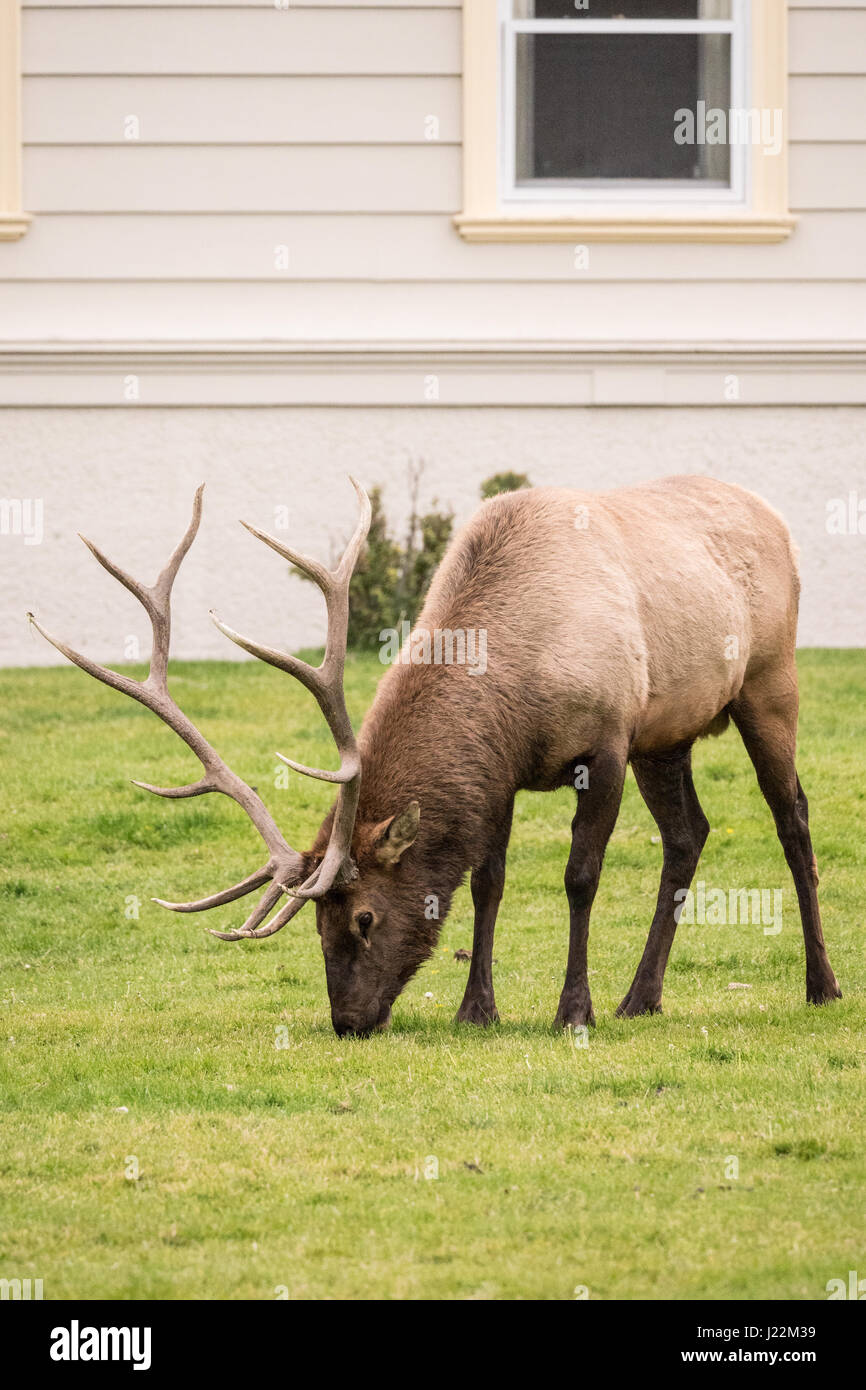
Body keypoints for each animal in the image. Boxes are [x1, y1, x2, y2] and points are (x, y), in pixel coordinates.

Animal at [28, 475, 839, 1034]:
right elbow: (487, 883)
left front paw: (571, 1010)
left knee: (793, 817)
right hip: (668, 735)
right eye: (316, 926)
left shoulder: (607, 740)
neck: (514, 689)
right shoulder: (504, 774)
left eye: (363, 920)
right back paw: (641, 998)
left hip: (769, 682)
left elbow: (579, 878)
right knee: (688, 833)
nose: (347, 1022)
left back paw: (820, 984)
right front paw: (476, 1009)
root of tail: (776, 519)